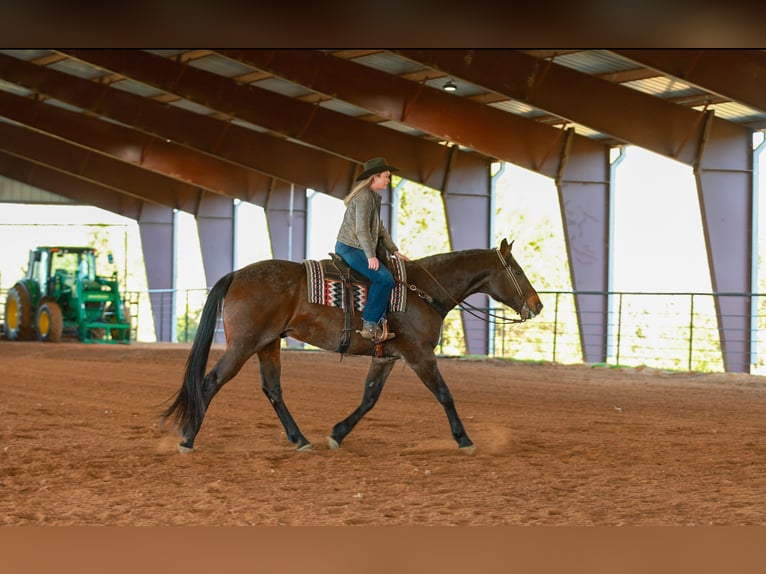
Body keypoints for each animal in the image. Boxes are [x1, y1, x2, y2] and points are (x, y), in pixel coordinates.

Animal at [160, 237, 543, 453]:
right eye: (518, 272)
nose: (537, 305)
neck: (420, 291)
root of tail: (236, 274)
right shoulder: (420, 355)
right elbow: (445, 394)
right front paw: (464, 440)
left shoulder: (387, 357)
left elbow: (369, 398)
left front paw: (337, 434)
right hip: (243, 345)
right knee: (210, 382)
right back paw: (187, 439)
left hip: (267, 344)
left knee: (273, 390)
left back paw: (301, 440)